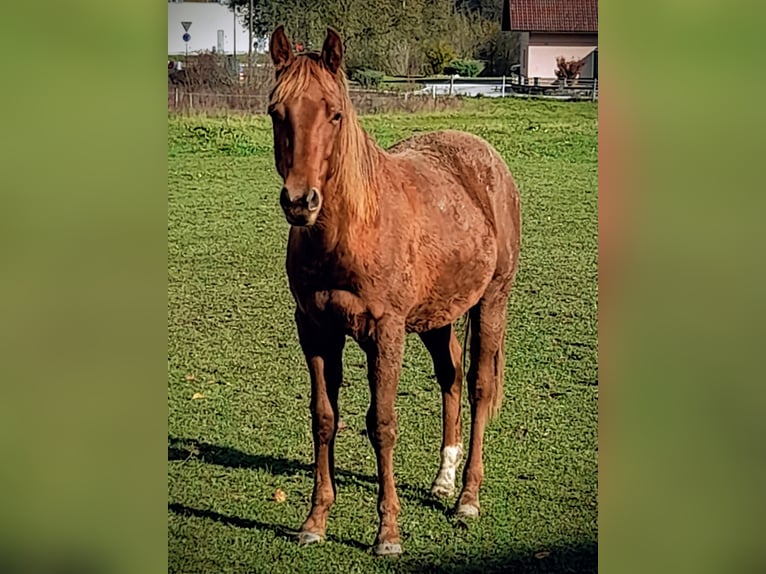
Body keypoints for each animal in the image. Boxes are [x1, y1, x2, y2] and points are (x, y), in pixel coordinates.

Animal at [267, 26, 521, 556]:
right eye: (277, 112)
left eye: (335, 113)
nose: (301, 202)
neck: (349, 232)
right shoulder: (315, 329)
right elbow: (324, 418)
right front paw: (315, 521)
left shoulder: (385, 332)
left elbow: (381, 424)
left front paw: (388, 533)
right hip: (436, 316)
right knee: (451, 377)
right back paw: (444, 480)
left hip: (492, 300)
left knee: (479, 386)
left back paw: (467, 498)